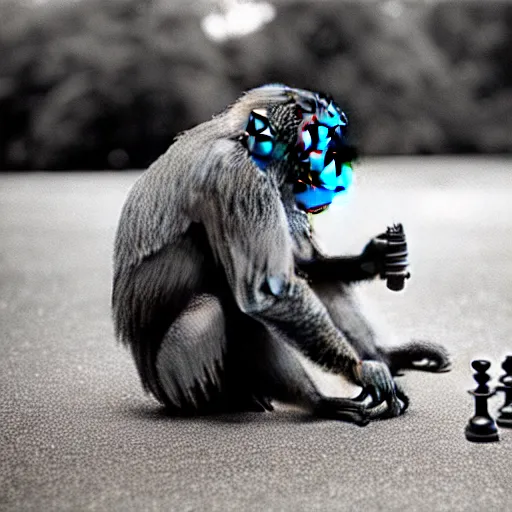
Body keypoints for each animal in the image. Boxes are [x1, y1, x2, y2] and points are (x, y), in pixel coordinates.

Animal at [111, 85, 448, 424]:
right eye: (321, 134)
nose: (333, 157)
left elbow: (300, 267)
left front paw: (375, 259)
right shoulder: (242, 176)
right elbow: (268, 292)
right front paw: (360, 371)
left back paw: (381, 356)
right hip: (175, 384)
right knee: (222, 306)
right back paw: (313, 401)